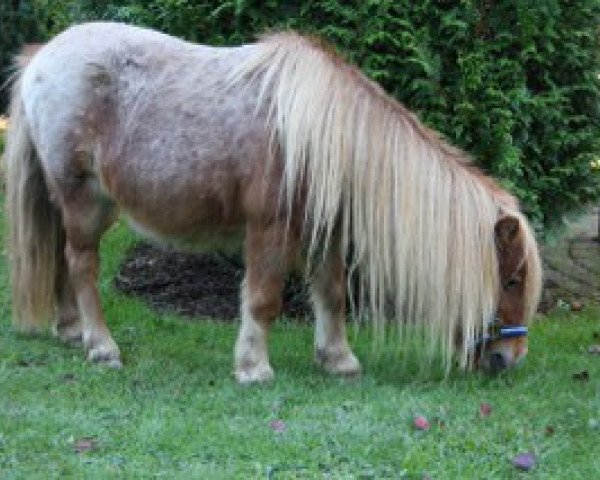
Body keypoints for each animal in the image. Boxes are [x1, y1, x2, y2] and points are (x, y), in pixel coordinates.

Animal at [3, 22, 544, 382]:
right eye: (512, 280)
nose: (510, 358)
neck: (321, 138)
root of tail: (44, 56)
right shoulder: (270, 228)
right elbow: (263, 299)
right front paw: (254, 367)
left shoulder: (326, 233)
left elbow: (332, 294)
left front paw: (338, 360)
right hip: (82, 199)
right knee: (81, 266)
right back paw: (101, 347)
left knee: (62, 260)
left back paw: (71, 330)